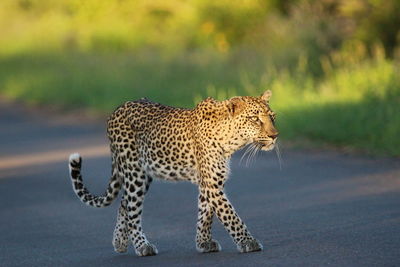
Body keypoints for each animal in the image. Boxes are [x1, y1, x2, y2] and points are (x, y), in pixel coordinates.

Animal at [68, 90, 278, 258]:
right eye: (255, 119)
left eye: (272, 117)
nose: (275, 136)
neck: (231, 139)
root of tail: (117, 109)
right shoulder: (212, 183)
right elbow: (230, 215)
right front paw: (248, 242)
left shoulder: (210, 181)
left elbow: (205, 213)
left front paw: (203, 243)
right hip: (134, 171)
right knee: (132, 209)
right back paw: (142, 246)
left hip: (144, 174)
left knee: (124, 203)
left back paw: (119, 242)